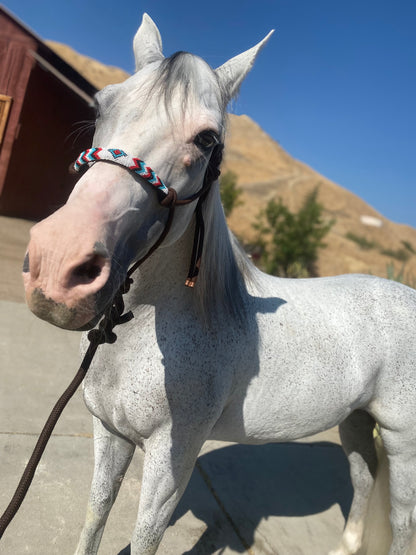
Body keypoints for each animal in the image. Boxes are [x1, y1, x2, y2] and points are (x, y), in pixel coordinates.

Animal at [22, 11, 416, 555]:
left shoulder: (172, 459)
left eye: (207, 139)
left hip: (403, 441)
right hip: (356, 421)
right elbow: (95, 516)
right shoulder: (109, 432)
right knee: (362, 478)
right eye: (101, 104)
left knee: (402, 519)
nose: (59, 262)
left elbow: (145, 537)